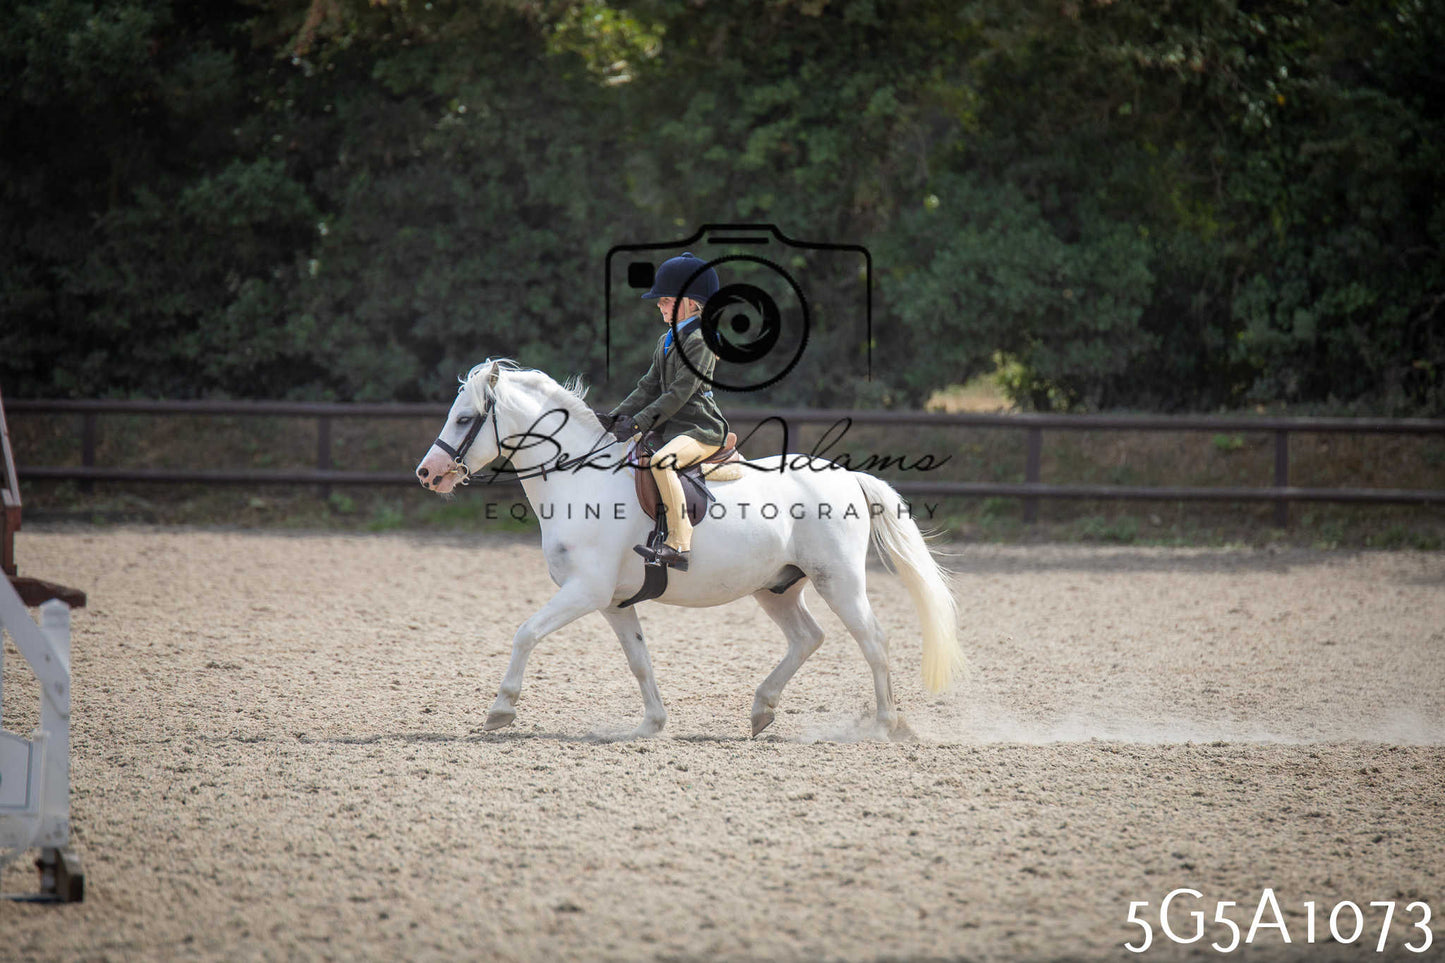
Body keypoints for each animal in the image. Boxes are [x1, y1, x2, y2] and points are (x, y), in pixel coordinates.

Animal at [414, 359, 963, 737]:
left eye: (464, 419)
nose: (427, 474)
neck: (580, 478)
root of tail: (848, 475)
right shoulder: (613, 603)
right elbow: (639, 661)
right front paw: (650, 726)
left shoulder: (585, 592)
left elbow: (525, 633)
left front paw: (500, 710)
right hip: (776, 587)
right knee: (808, 638)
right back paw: (762, 710)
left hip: (839, 581)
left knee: (873, 641)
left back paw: (885, 725)